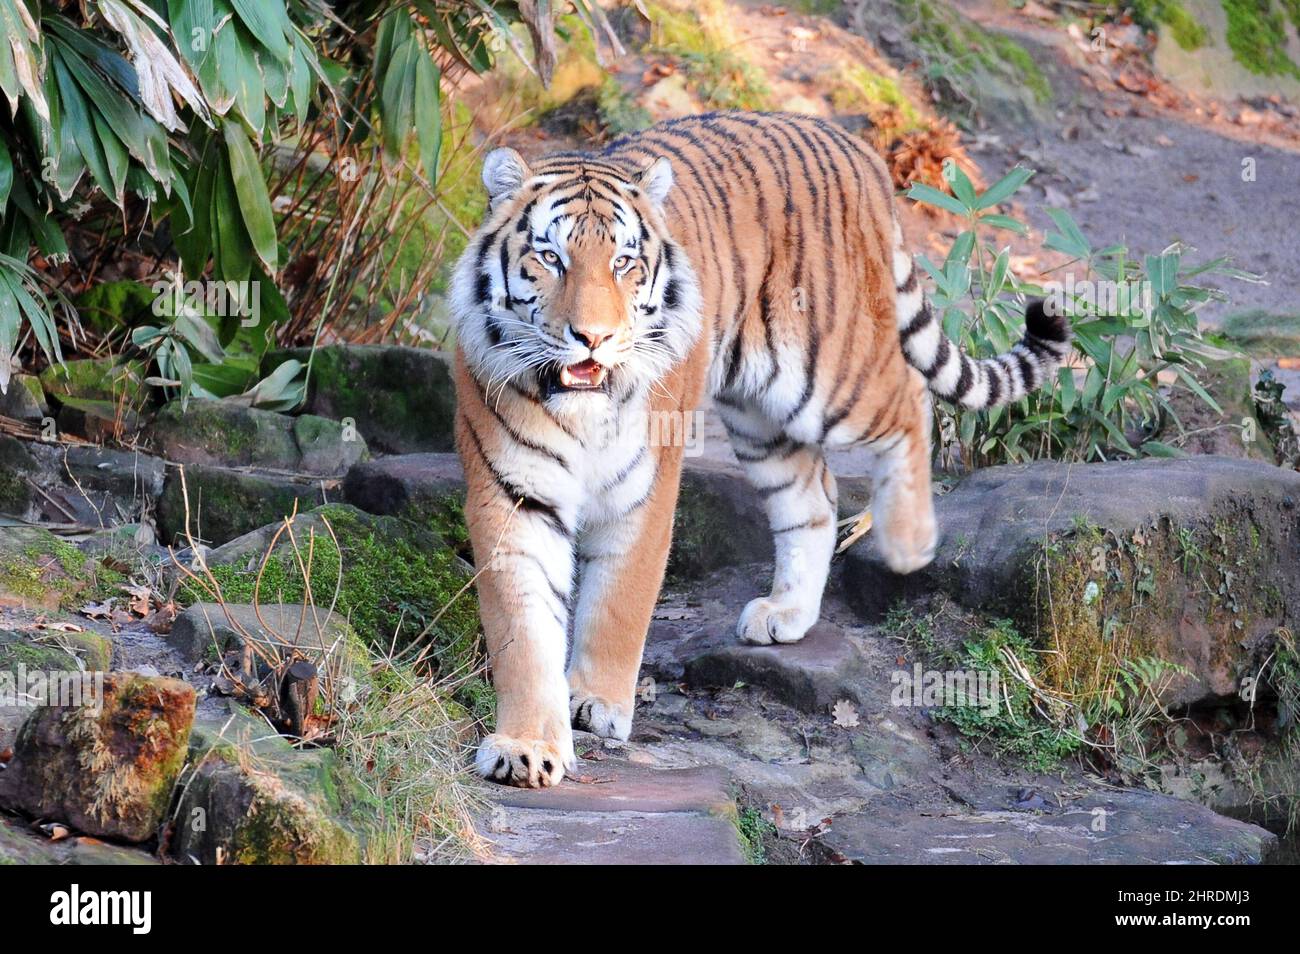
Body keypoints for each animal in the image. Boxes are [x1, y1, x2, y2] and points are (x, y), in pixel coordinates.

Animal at [447, 111, 1066, 790]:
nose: (594, 337)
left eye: (624, 262)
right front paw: (527, 746)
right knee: (815, 496)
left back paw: (909, 545)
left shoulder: (645, 491)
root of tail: (853, 146)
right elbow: (523, 630)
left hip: (830, 373)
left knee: (910, 400)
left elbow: (619, 603)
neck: (581, 411)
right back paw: (787, 612)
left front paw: (596, 701)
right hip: (759, 415)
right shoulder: (514, 495)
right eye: (550, 257)